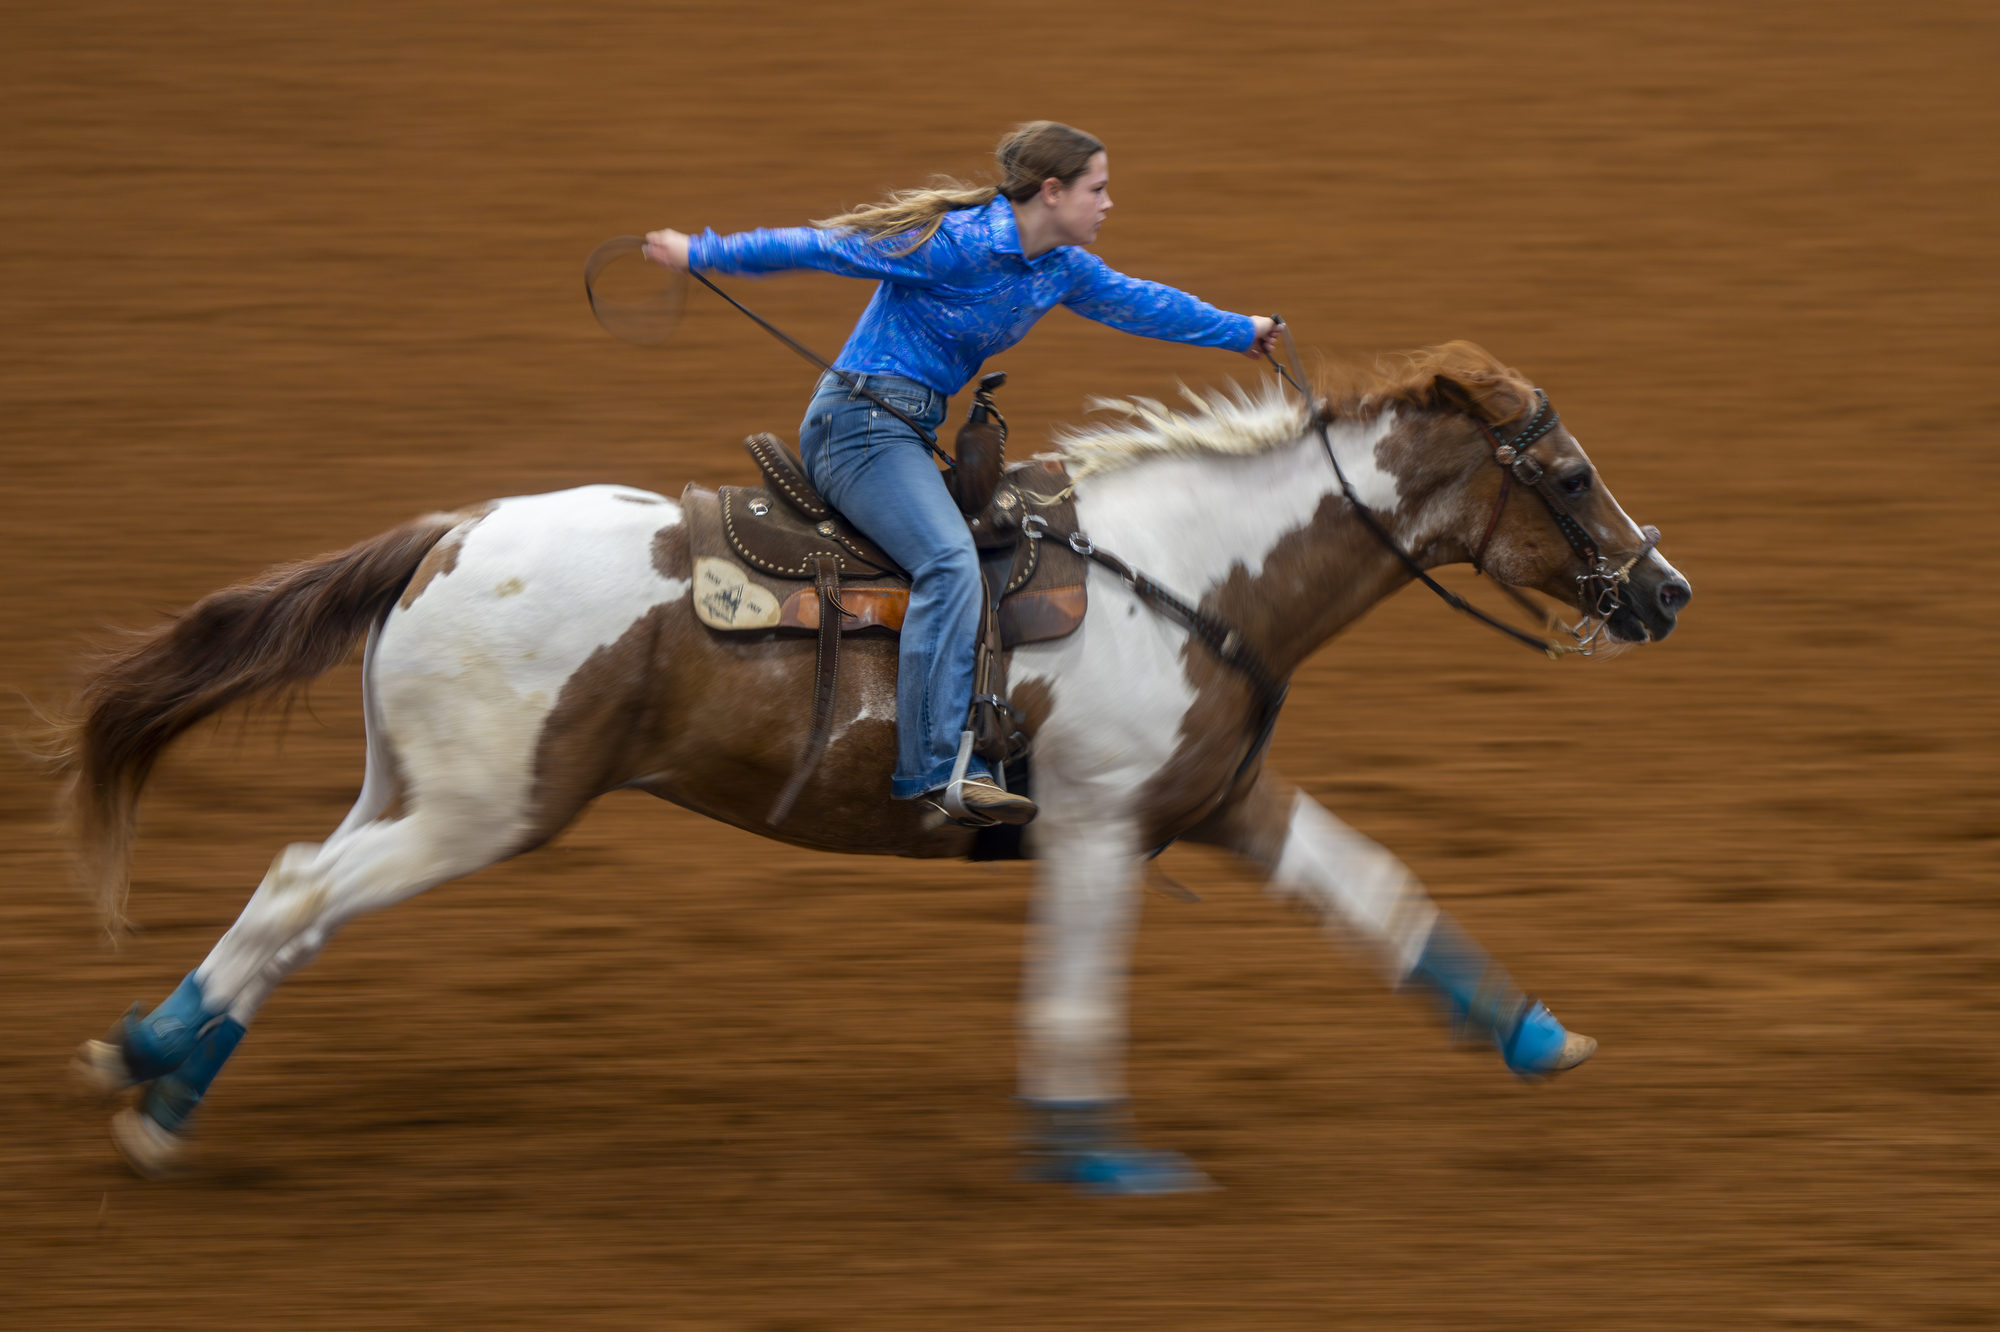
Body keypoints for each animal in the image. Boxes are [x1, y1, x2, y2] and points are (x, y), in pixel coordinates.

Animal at [58, 342, 1688, 1184]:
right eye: (1565, 471)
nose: (1666, 592)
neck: (1192, 573)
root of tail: (449, 533)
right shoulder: (1094, 826)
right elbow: (1077, 989)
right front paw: (1098, 1155)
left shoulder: (1216, 802)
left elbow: (1378, 892)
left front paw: (1535, 1034)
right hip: (480, 810)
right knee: (292, 896)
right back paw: (141, 1068)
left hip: (408, 794)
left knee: (300, 898)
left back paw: (164, 1091)